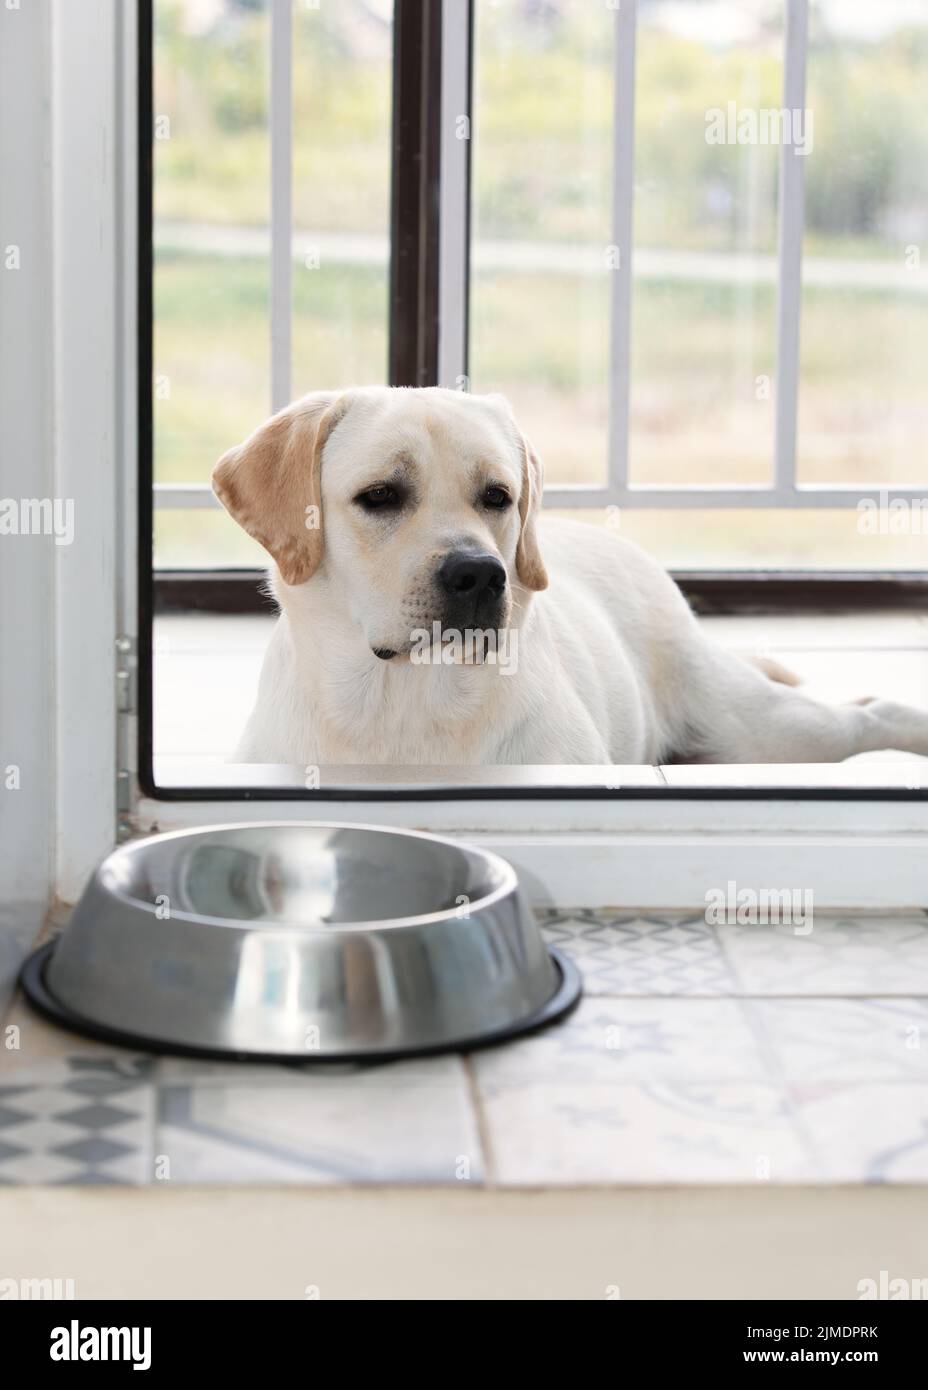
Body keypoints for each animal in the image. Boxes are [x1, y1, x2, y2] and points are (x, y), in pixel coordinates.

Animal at [213, 386, 928, 767]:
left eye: (497, 496)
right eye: (381, 496)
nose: (480, 575)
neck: (408, 702)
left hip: (760, 727)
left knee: (866, 714)